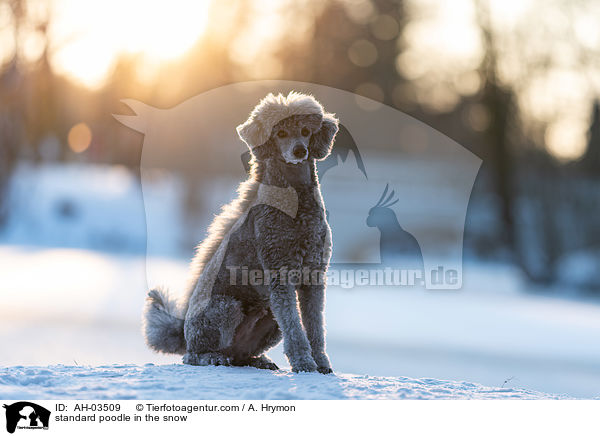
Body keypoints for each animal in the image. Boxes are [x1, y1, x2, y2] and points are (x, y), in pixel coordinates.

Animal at [141, 91, 338, 372]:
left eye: (305, 131)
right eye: (280, 133)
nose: (300, 150)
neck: (296, 204)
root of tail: (183, 333)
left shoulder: (314, 276)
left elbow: (314, 326)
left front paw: (321, 363)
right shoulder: (279, 276)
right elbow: (295, 328)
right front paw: (304, 363)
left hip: (269, 318)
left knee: (239, 354)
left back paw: (257, 361)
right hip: (225, 307)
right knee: (192, 356)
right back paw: (211, 357)